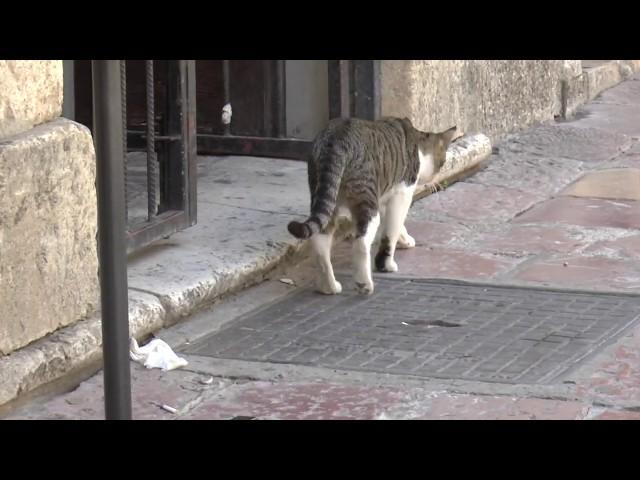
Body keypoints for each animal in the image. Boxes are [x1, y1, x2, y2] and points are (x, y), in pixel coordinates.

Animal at [288, 117, 458, 294]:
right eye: (443, 163)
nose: (435, 179)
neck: (417, 145)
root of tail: (336, 138)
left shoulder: (383, 197)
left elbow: (396, 226)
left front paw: (404, 239)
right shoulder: (401, 194)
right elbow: (391, 232)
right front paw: (386, 264)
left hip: (327, 195)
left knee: (320, 241)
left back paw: (329, 286)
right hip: (366, 198)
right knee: (360, 243)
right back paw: (364, 283)